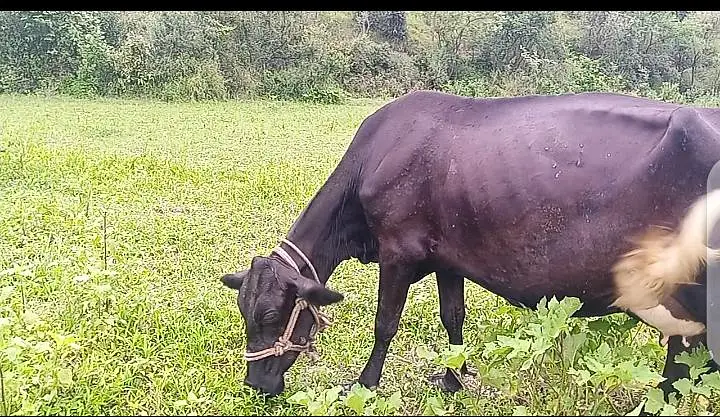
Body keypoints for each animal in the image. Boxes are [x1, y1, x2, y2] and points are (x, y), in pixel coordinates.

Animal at [220, 90, 720, 409]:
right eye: (242, 311)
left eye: (269, 315)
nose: (255, 383)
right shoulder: (447, 256)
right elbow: (452, 317)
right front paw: (453, 379)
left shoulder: (398, 249)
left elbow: (385, 323)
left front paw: (363, 385)